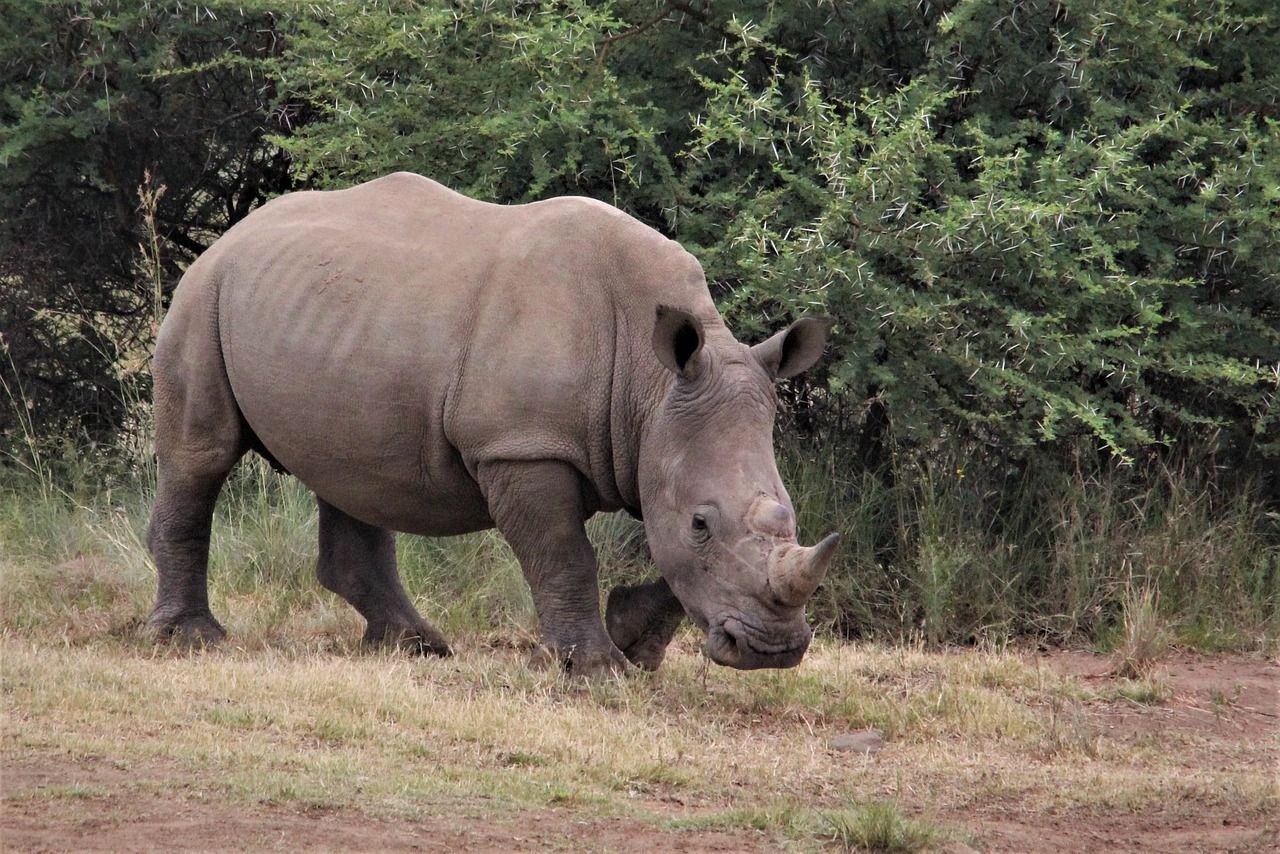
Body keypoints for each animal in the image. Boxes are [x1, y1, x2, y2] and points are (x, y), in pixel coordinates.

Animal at [147, 172, 839, 676]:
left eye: (790, 515)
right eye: (702, 523)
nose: (772, 652)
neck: (652, 386)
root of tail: (234, 232)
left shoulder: (662, 443)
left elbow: (671, 558)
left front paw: (633, 644)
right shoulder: (523, 447)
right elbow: (565, 555)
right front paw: (595, 669)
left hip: (331, 313)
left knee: (348, 471)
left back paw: (415, 645)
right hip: (203, 296)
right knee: (201, 456)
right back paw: (190, 640)